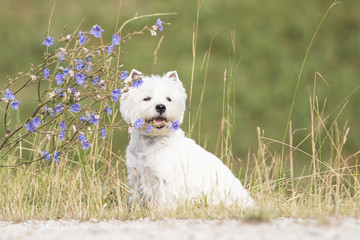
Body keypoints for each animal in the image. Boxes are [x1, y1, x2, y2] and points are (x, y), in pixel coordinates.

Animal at [119, 70, 255, 210]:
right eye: (146, 98)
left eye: (168, 99)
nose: (161, 107)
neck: (150, 142)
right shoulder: (136, 176)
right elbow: (136, 199)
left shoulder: (164, 180)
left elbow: (163, 201)